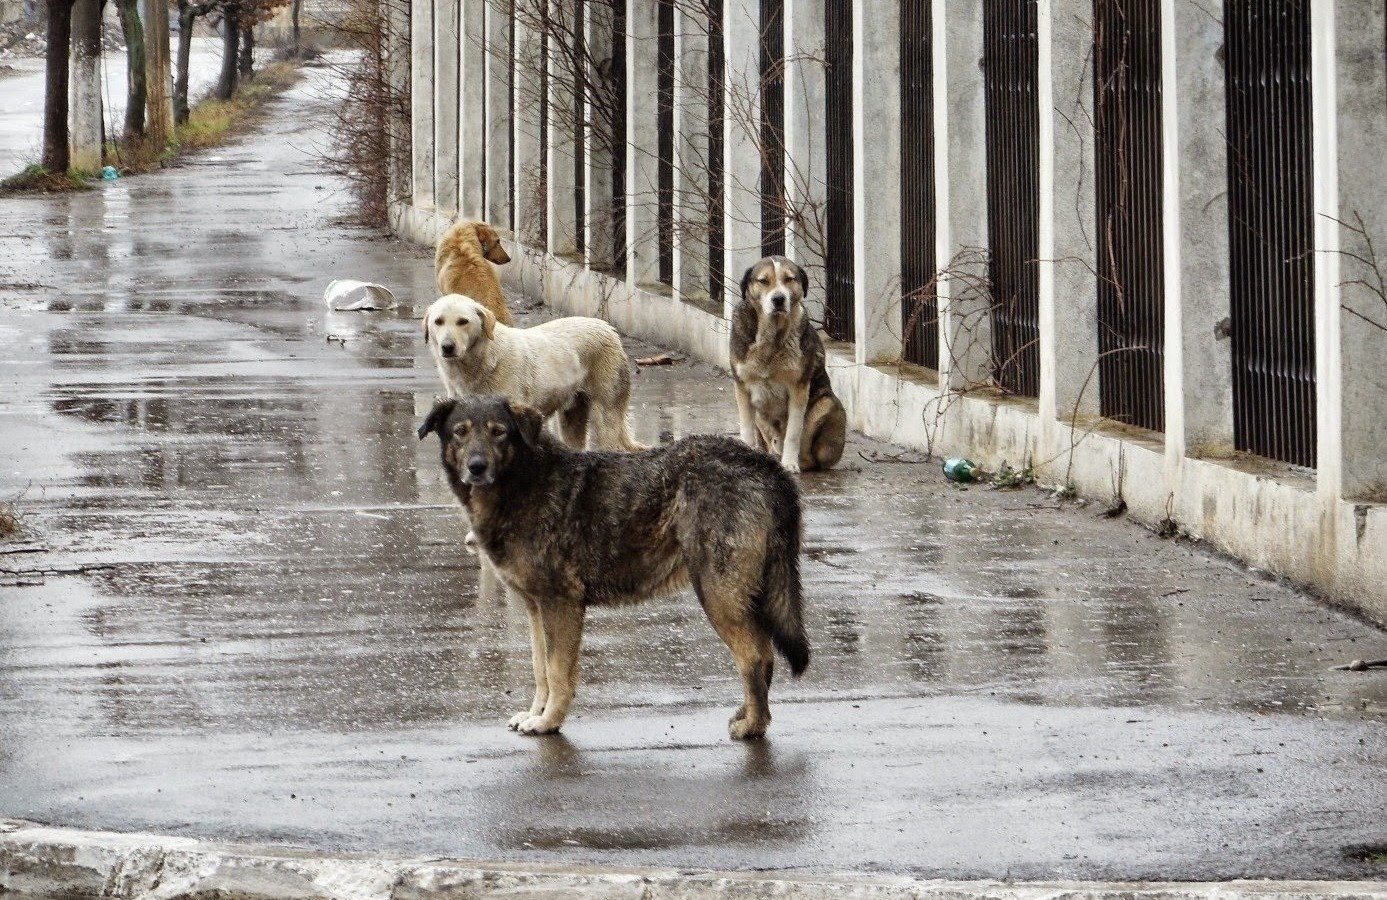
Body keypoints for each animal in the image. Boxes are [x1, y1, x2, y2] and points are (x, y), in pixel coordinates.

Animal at [421, 292, 643, 449]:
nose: (447, 347)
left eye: (463, 321)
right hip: (572, 417)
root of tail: (607, 327)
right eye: (438, 321)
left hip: (606, 414)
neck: (482, 361)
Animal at [737, 256, 843, 474]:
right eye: (763, 281)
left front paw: (790, 463)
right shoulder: (742, 386)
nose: (778, 299)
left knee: (811, 459)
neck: (772, 338)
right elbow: (746, 429)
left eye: (789, 279)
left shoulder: (798, 388)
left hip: (826, 404)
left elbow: (793, 432)